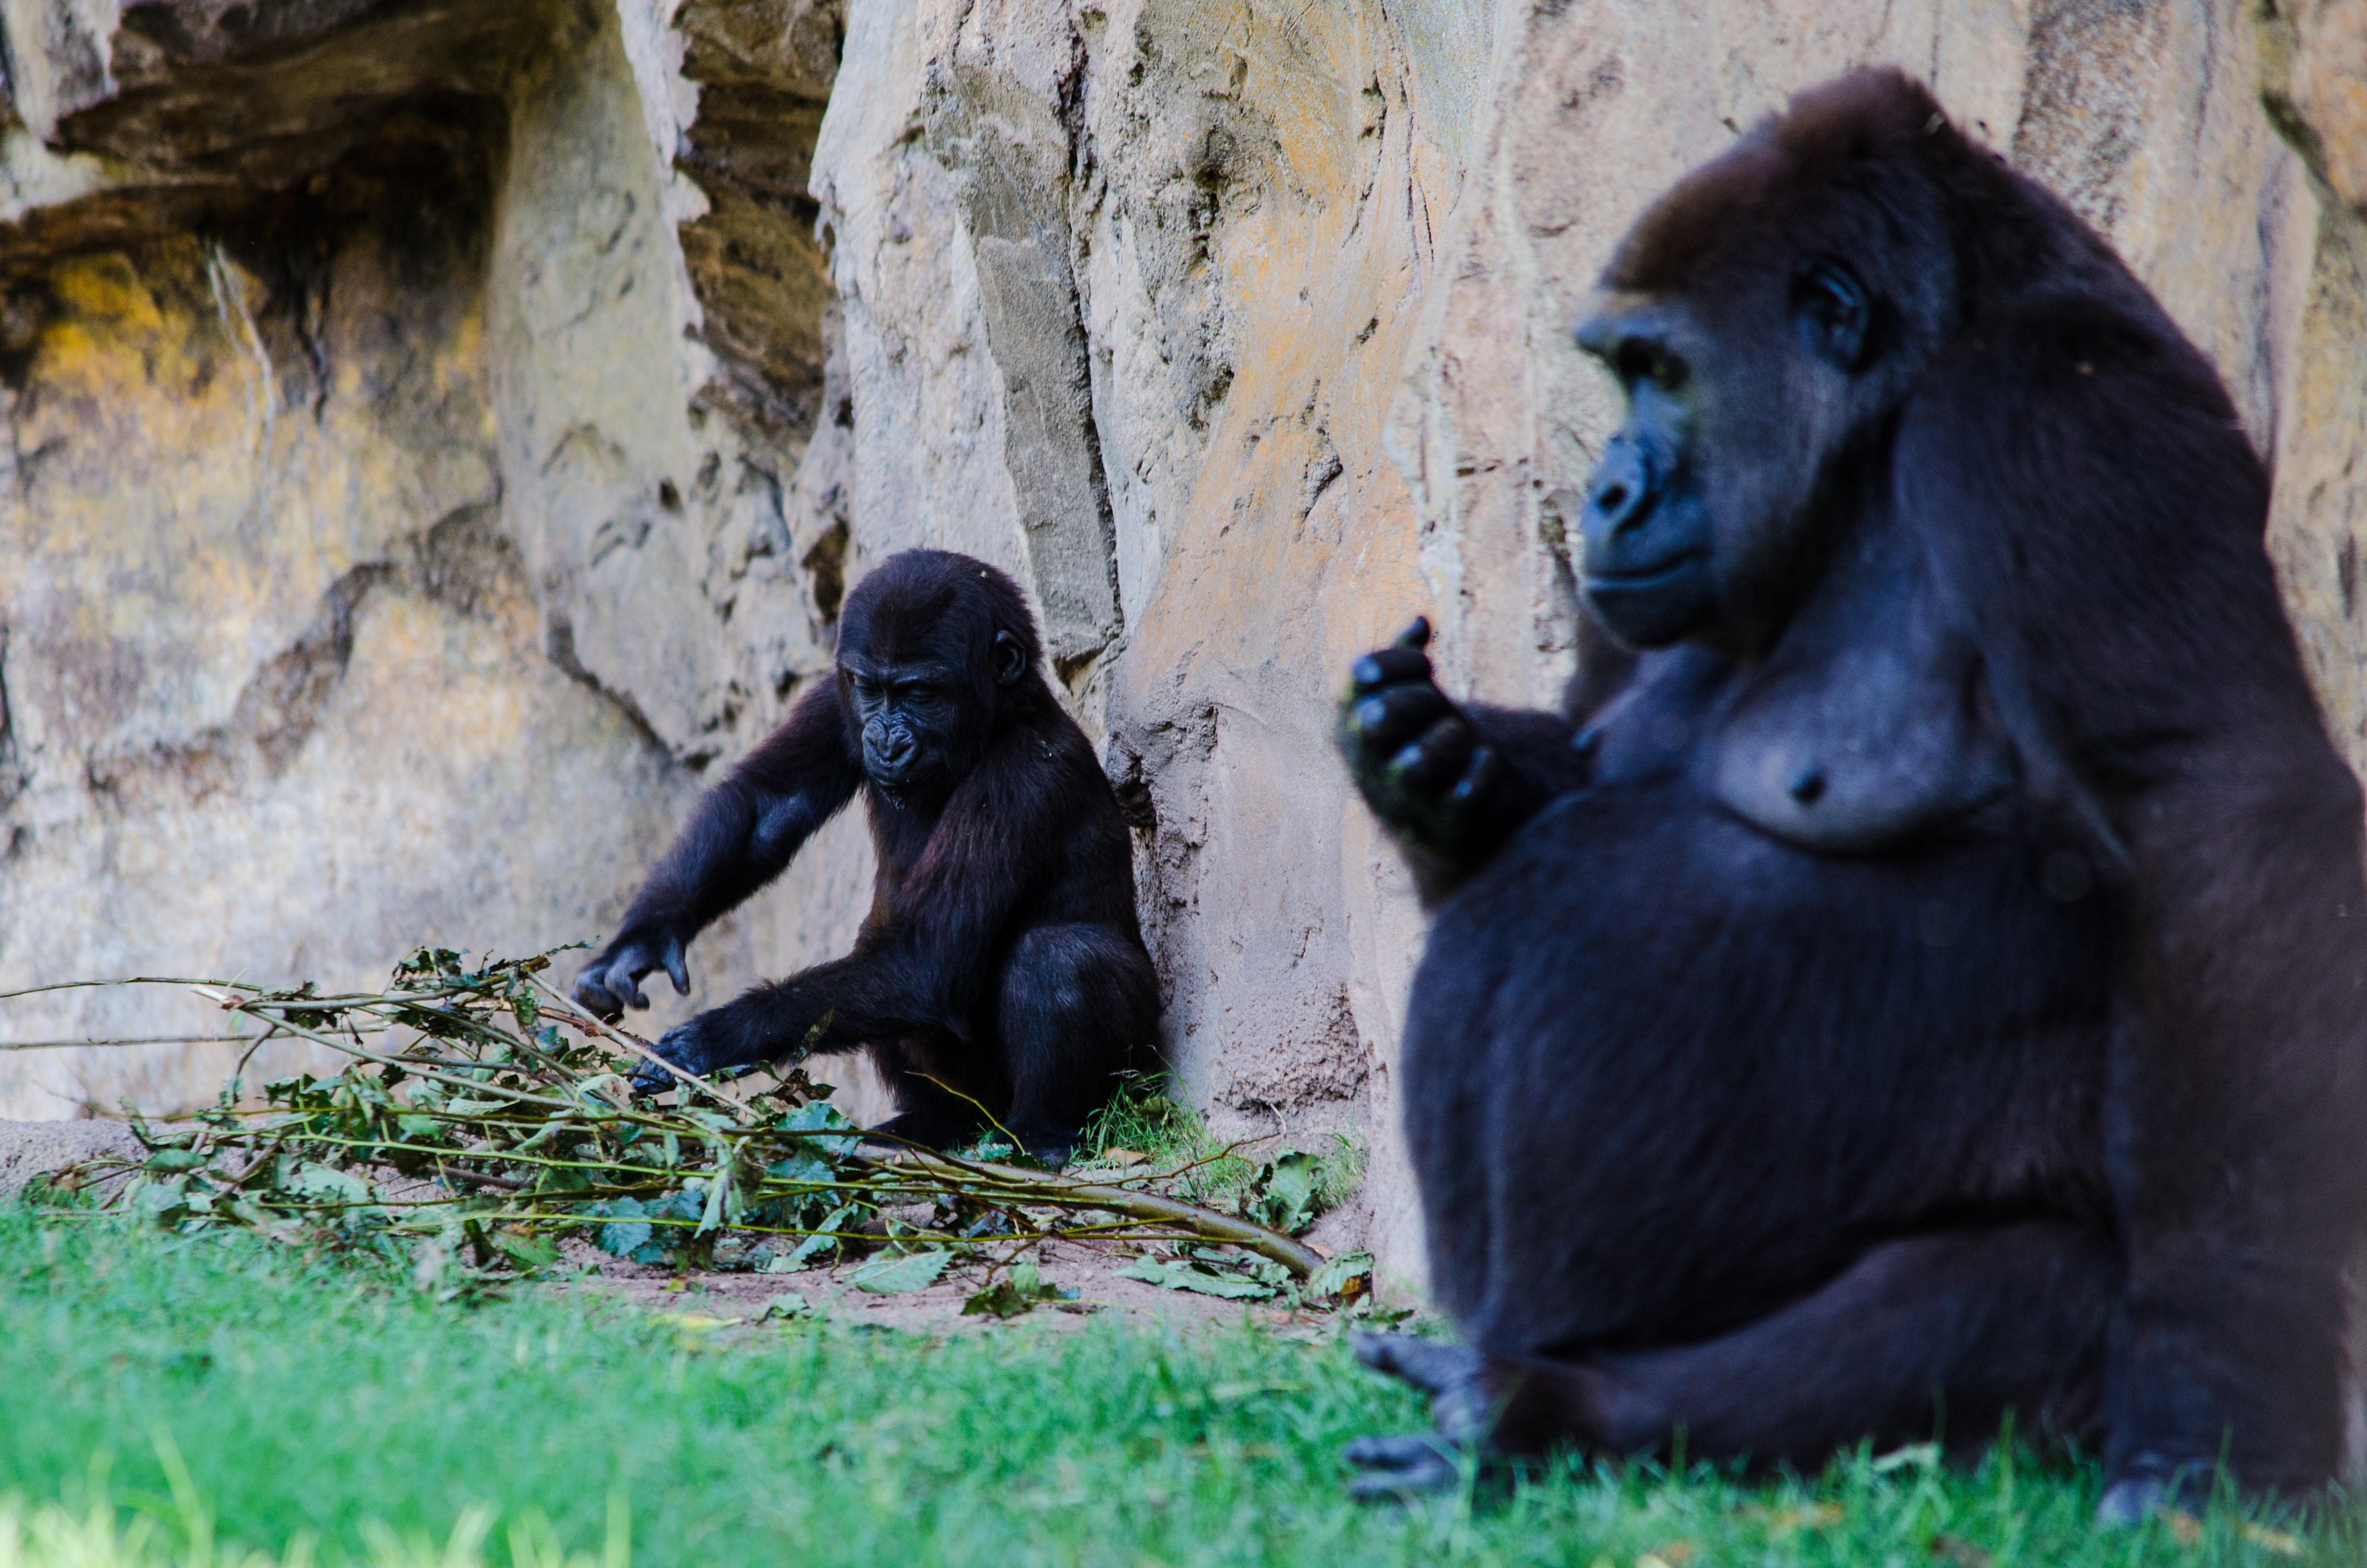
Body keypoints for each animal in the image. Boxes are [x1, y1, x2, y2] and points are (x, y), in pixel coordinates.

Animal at [577, 546, 1159, 1159]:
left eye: (919, 693)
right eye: (870, 689)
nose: (884, 739)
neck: (1002, 719)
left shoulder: (1024, 778)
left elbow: (924, 956)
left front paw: (719, 1038)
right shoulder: (835, 700)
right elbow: (767, 806)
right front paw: (638, 945)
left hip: (1134, 1073)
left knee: (1060, 956)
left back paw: (1041, 1136)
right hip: (972, 1100)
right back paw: (933, 1122)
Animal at [1344, 64, 2357, 1523]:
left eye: (1664, 372)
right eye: (1621, 372)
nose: (1604, 492)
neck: (1886, 424)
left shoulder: (2052, 412)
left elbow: (2211, 801)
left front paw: (2205, 1425)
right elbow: (1576, 766)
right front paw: (1445, 772)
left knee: (2015, 1291)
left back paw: (1547, 1411)